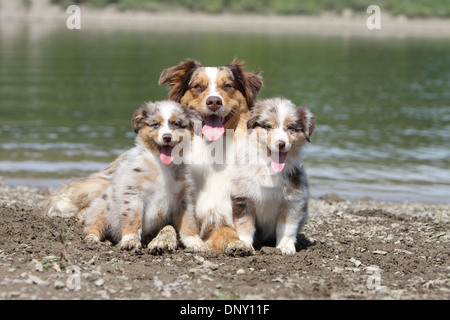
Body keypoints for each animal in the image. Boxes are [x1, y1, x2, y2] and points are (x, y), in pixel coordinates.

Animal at [83, 101, 207, 254]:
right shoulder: (133, 194)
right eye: (155, 124)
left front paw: (196, 242)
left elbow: (189, 223)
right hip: (100, 208)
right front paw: (130, 241)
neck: (162, 166)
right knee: (93, 226)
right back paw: (93, 239)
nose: (167, 137)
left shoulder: (183, 199)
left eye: (176, 124)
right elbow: (133, 220)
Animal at [158, 59, 264, 255]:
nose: (214, 101)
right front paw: (161, 240)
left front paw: (238, 244)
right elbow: (166, 226)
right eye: (197, 86)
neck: (211, 147)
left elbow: (228, 234)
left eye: (228, 86)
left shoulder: (217, 214)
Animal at [230, 98, 314, 255]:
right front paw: (243, 245)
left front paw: (286, 247)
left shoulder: (293, 200)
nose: (281, 144)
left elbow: (287, 227)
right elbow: (245, 225)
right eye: (268, 126)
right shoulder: (242, 196)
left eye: (290, 127)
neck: (269, 167)